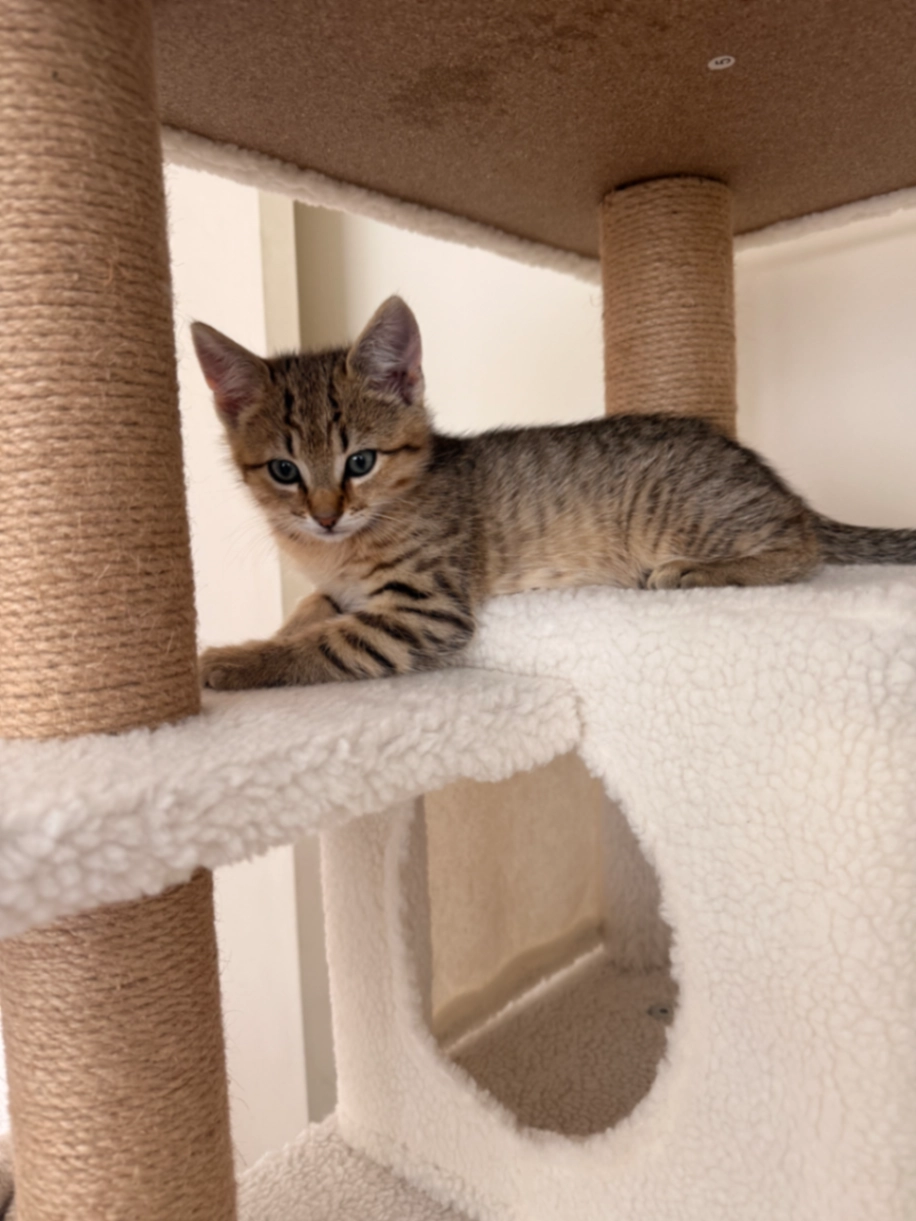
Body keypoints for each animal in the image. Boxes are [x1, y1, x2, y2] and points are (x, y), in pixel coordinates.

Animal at [191, 295, 916, 689]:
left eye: (360, 461)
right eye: (284, 470)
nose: (325, 515)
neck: (333, 550)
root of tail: (754, 466)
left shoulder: (426, 608)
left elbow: (326, 642)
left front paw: (234, 661)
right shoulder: (344, 588)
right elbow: (311, 611)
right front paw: (271, 630)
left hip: (677, 513)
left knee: (802, 544)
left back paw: (692, 570)